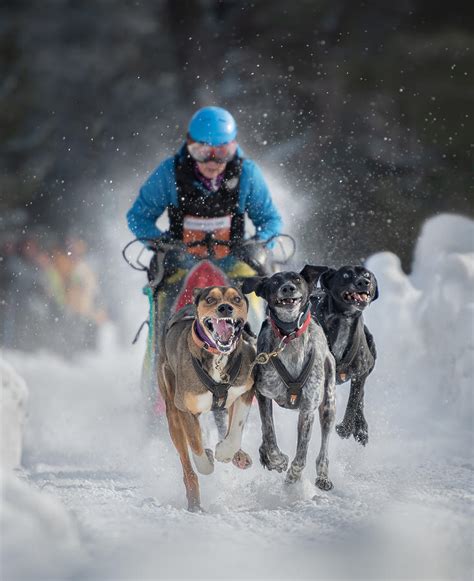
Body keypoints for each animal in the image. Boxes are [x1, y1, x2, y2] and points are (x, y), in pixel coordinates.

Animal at [157, 286, 256, 512]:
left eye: (236, 299)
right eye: (210, 299)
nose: (225, 308)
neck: (218, 356)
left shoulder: (245, 391)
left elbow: (235, 431)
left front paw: (226, 452)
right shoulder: (186, 409)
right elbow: (196, 447)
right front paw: (208, 460)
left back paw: (238, 456)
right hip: (173, 414)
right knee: (188, 467)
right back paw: (194, 502)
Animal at [241, 266, 336, 490]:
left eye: (296, 279)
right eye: (275, 282)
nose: (288, 288)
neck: (289, 336)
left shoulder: (308, 408)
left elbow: (301, 454)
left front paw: (293, 476)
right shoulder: (263, 393)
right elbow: (269, 432)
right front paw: (277, 460)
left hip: (328, 404)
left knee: (324, 447)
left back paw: (323, 476)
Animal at [312, 266, 378, 446]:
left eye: (367, 275)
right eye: (346, 274)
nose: (364, 282)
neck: (344, 319)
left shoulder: (361, 372)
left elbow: (354, 400)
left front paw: (346, 428)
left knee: (360, 398)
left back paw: (361, 428)